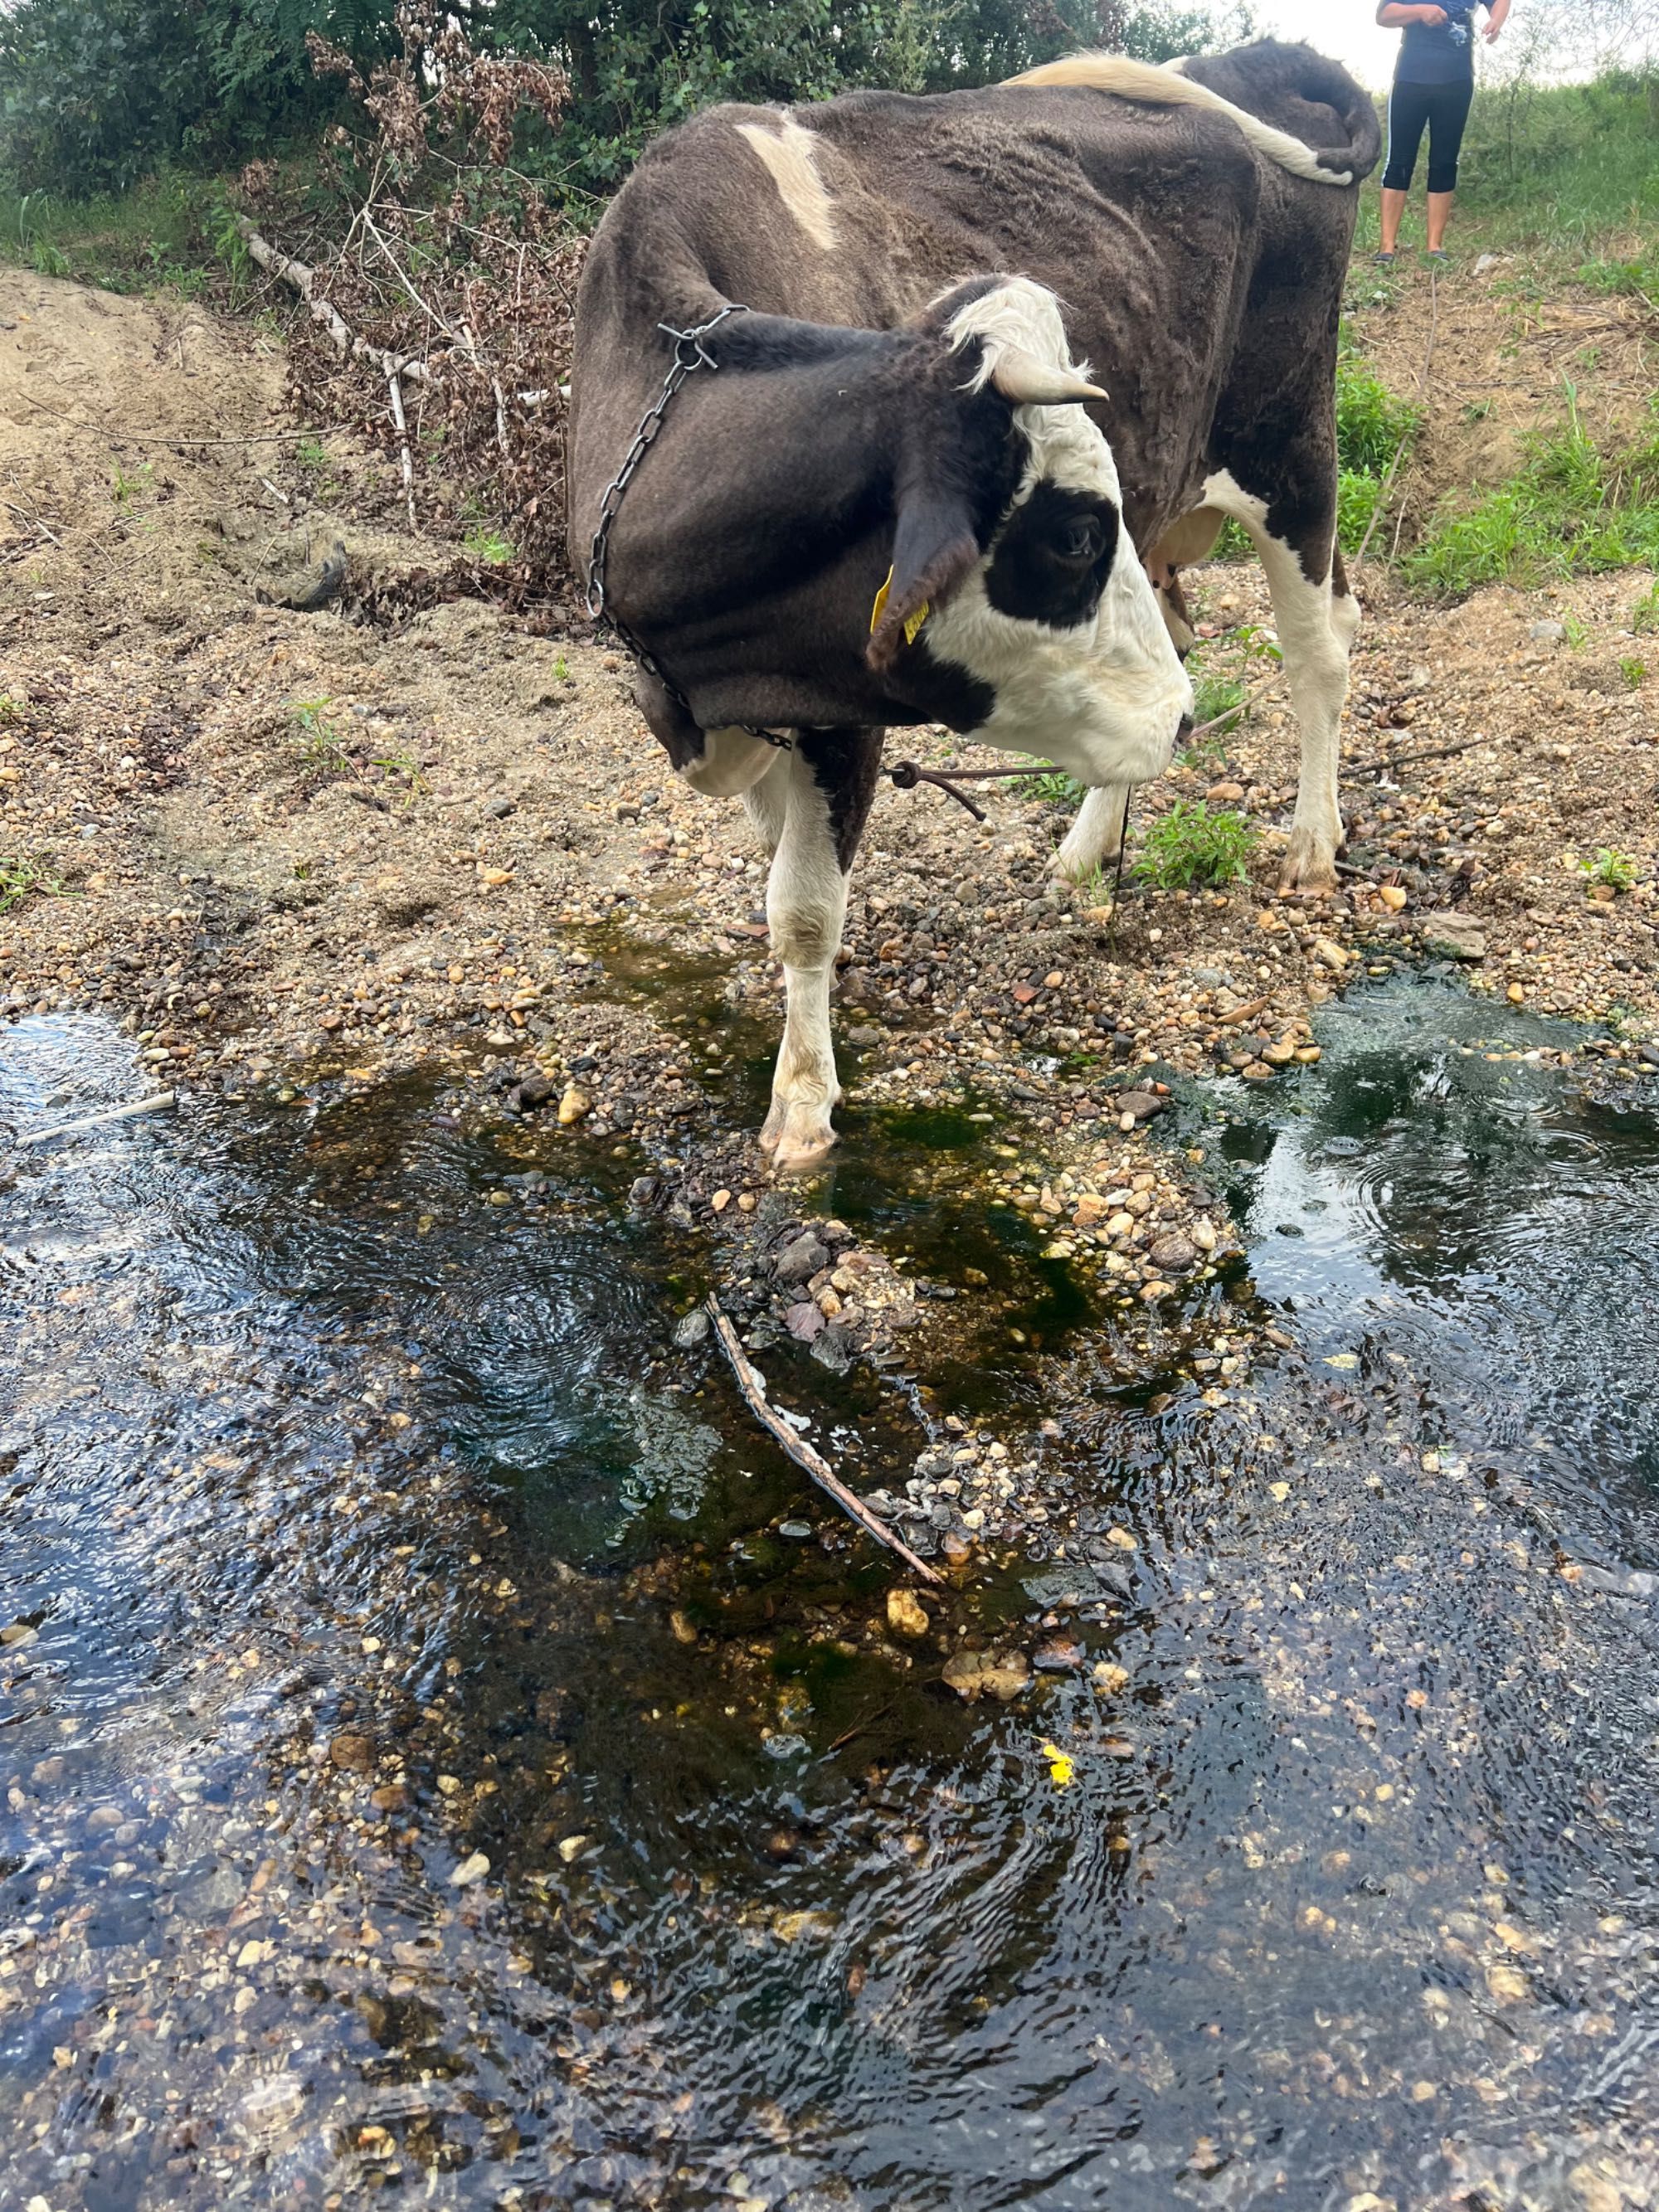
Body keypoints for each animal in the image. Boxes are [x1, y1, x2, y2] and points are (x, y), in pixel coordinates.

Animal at [571, 39, 1389, 1176]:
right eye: (1078, 536)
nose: (1181, 719)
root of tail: (1252, 58)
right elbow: (780, 866)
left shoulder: (841, 709)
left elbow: (802, 906)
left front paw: (802, 1100)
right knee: (1175, 653)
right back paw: (1091, 846)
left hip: (1289, 445)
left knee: (1319, 648)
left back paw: (1310, 843)